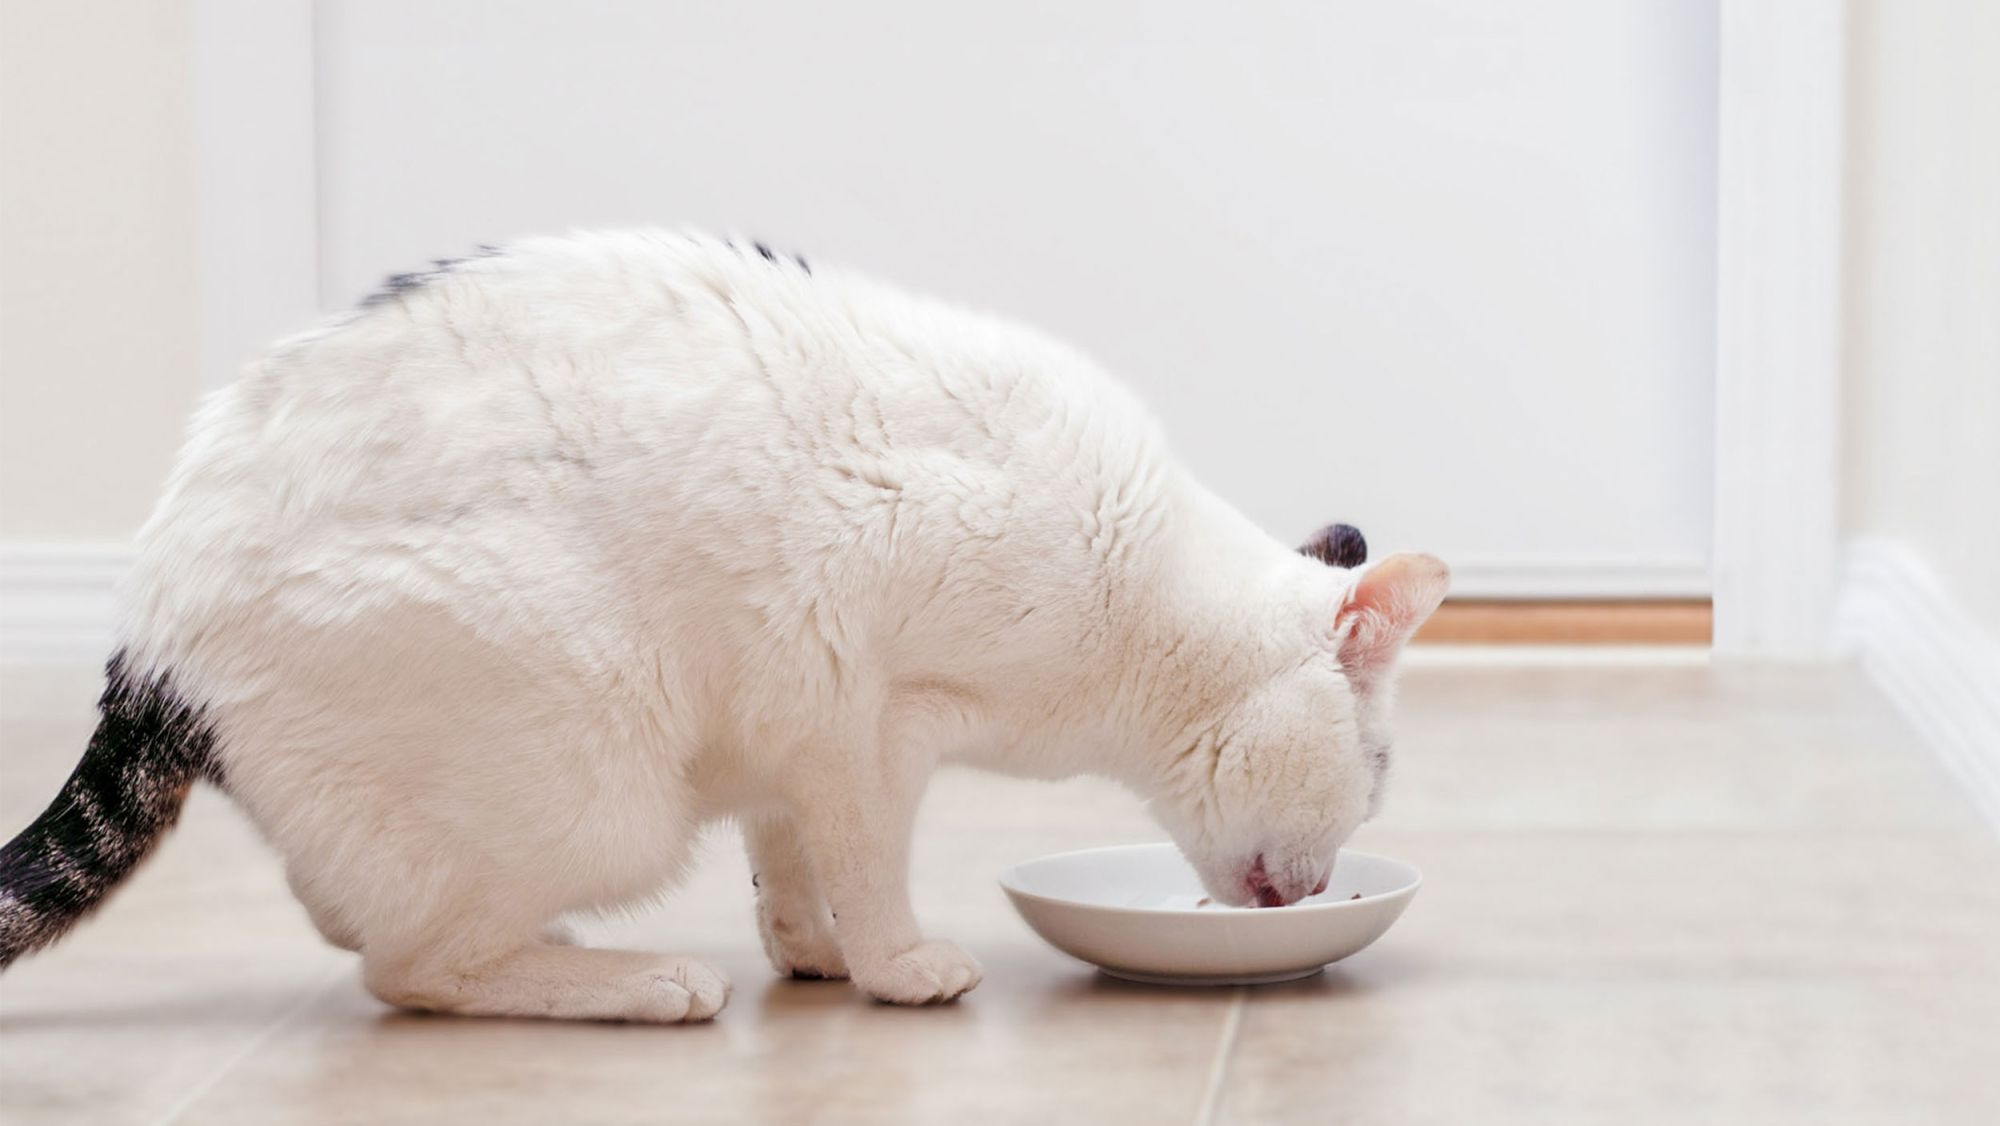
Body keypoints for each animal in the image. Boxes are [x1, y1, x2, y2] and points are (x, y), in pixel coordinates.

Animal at [0, 231, 1448, 1024]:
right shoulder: (866, 714)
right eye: (1378, 776)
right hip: (605, 773)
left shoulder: (789, 717)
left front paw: (809, 953)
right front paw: (895, 965)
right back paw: (638, 981)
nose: (1327, 875)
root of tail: (145, 635)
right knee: (406, 969)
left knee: (357, 908)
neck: (1141, 609)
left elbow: (784, 849)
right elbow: (864, 856)